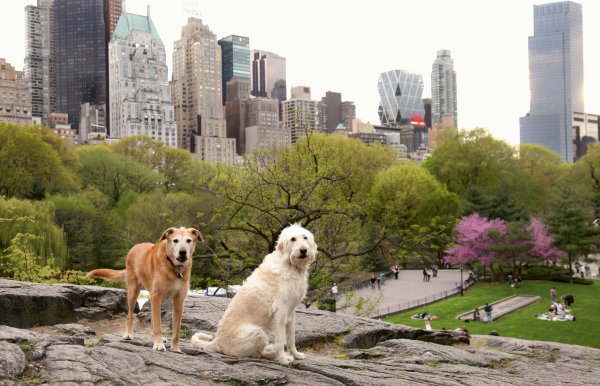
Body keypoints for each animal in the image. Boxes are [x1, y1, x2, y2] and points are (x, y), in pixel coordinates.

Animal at [192, 223, 318, 364]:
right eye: (293, 239)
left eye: (305, 237)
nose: (303, 250)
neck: (290, 265)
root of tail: (217, 342)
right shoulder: (280, 312)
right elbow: (281, 339)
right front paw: (282, 358)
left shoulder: (291, 312)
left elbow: (291, 337)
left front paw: (295, 354)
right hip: (257, 332)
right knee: (258, 354)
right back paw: (273, 354)